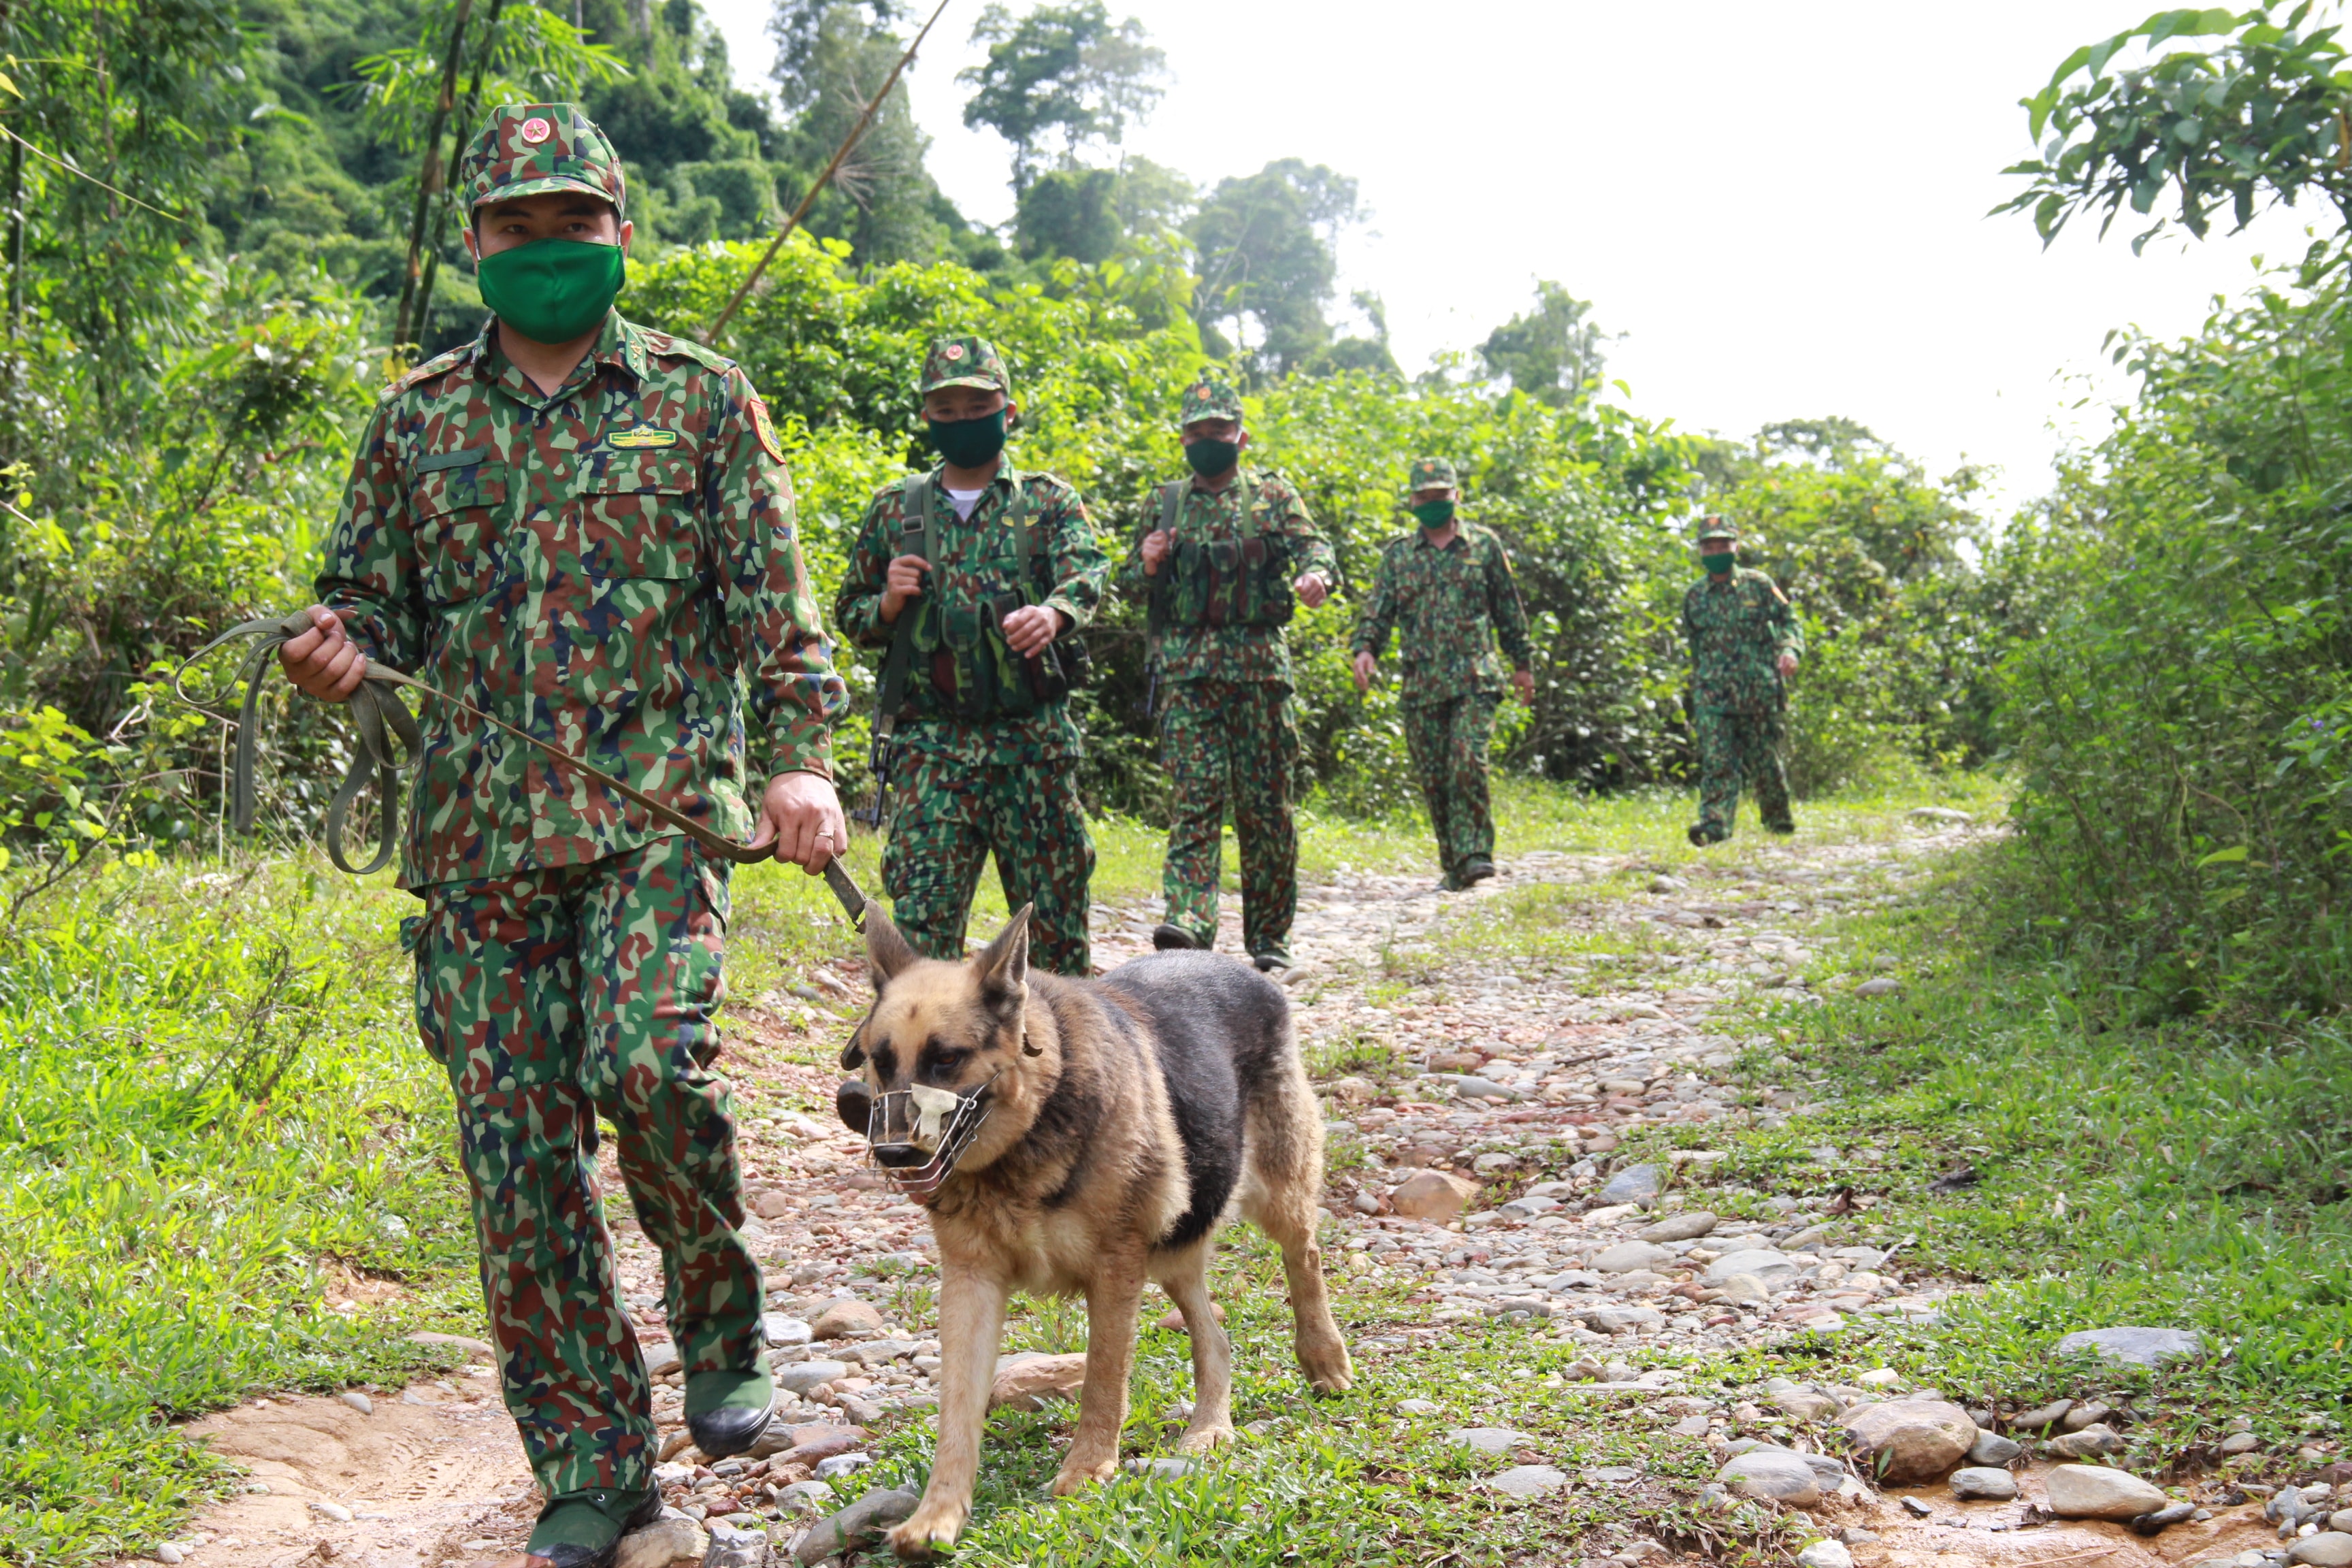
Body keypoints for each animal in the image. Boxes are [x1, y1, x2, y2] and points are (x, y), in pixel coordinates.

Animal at [842, 902, 1364, 1561]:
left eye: (947, 1059)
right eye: (881, 1062)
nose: (890, 1155)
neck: (1035, 1115)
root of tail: (1233, 965)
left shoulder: (1115, 1269)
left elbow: (1103, 1379)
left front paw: (1088, 1468)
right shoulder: (971, 1284)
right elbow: (957, 1410)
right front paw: (938, 1514)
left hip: (1275, 1197)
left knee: (1306, 1259)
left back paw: (1323, 1357)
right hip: (1170, 1250)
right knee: (1214, 1336)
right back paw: (1210, 1428)